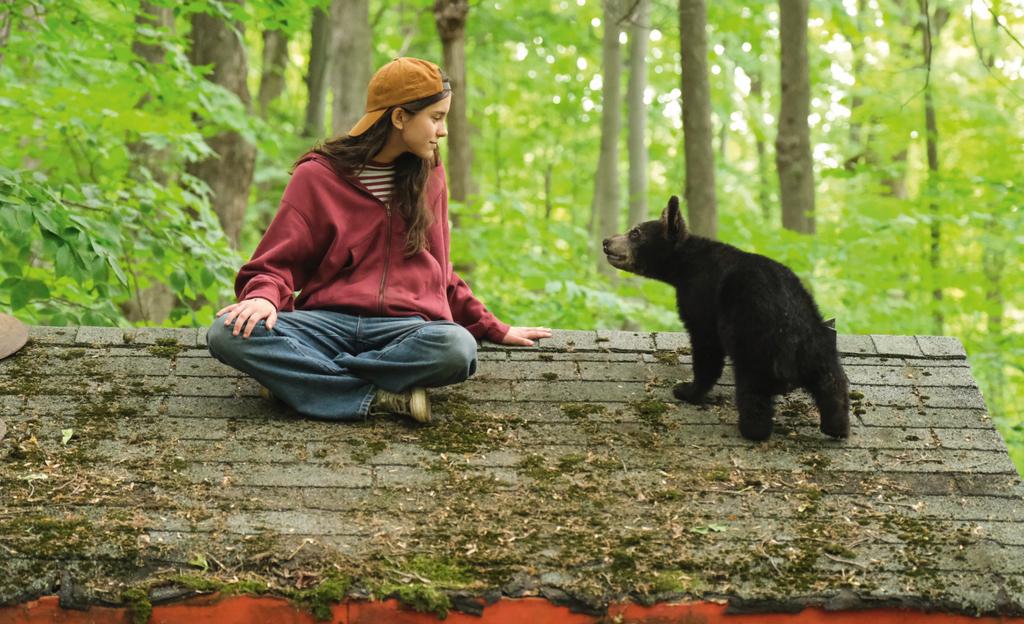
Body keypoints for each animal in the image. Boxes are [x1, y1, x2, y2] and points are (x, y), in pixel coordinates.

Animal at [602, 195, 849, 441]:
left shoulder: (701, 296)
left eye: (635, 233)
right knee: (832, 382)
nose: (606, 241)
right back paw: (837, 426)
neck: (685, 264)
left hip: (754, 339)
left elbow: (706, 345)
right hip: (819, 344)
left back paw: (752, 429)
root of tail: (793, 340)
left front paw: (687, 389)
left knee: (752, 388)